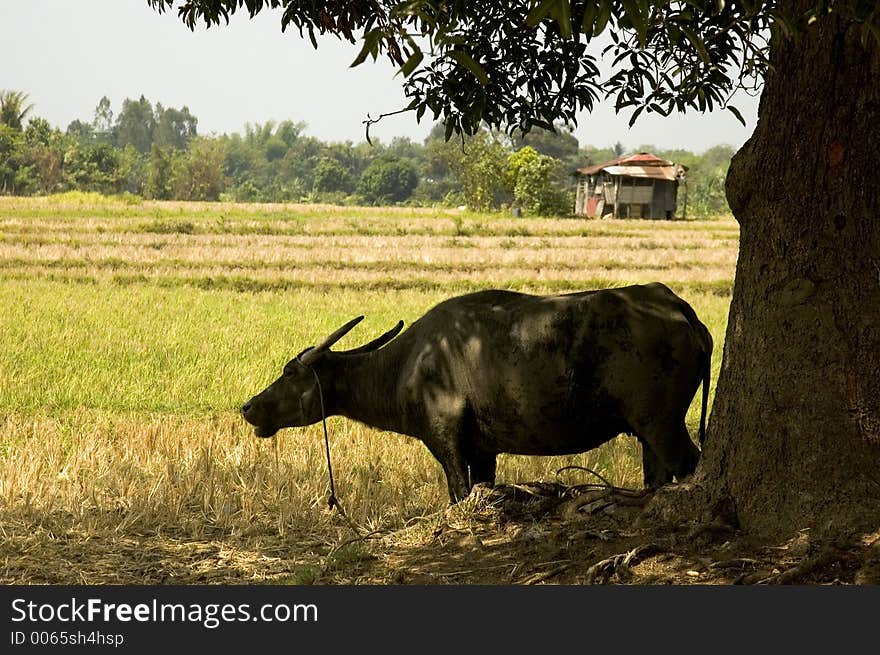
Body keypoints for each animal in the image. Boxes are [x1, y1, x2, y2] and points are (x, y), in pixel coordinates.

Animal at [242, 282, 716, 502]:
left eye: (289, 371)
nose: (249, 407)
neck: (408, 363)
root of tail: (678, 308)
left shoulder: (448, 443)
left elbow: (458, 493)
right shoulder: (485, 451)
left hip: (663, 424)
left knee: (689, 464)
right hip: (648, 432)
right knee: (658, 475)